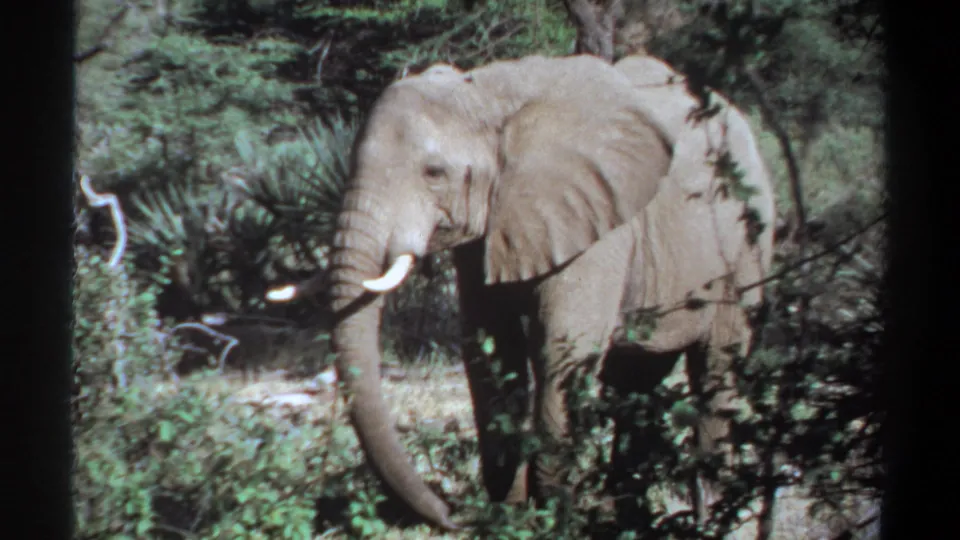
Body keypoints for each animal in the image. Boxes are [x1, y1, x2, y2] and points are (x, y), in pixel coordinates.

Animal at [268, 53, 776, 531]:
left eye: (433, 172)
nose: (452, 516)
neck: (487, 94)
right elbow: (490, 348)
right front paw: (508, 513)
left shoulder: (599, 222)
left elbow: (563, 348)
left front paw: (553, 517)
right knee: (638, 381)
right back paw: (630, 519)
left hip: (747, 246)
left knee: (717, 369)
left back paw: (710, 517)